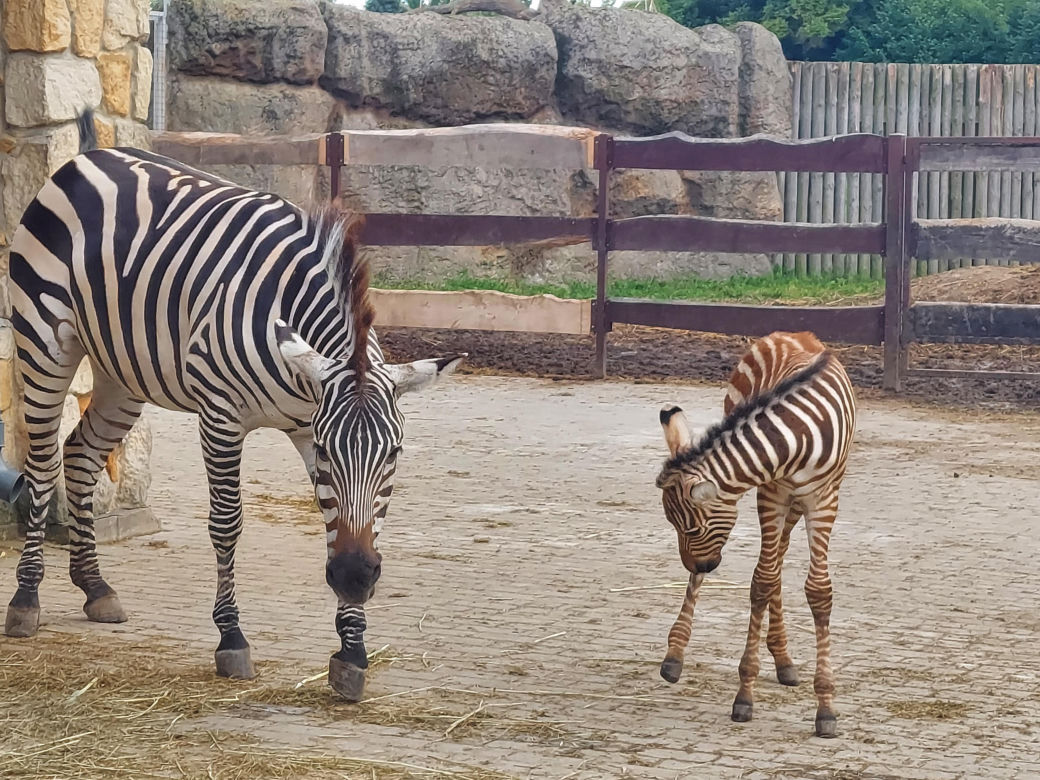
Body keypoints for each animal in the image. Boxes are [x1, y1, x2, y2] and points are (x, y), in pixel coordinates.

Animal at [3, 110, 464, 701]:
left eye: (394, 456)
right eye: (330, 453)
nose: (356, 579)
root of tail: (90, 155)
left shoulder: (305, 423)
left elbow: (337, 525)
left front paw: (352, 652)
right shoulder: (222, 416)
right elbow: (227, 524)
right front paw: (231, 638)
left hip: (122, 371)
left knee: (81, 455)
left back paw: (95, 587)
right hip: (45, 342)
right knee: (42, 466)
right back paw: (26, 600)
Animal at [654, 331, 856, 737]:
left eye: (692, 527)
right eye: (674, 526)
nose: (698, 565)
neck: (794, 433)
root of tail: (792, 334)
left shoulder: (824, 500)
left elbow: (818, 593)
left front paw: (825, 706)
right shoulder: (772, 494)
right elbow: (761, 583)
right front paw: (744, 694)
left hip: (795, 504)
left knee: (779, 557)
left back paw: (784, 660)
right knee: (771, 567)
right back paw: (676, 655)